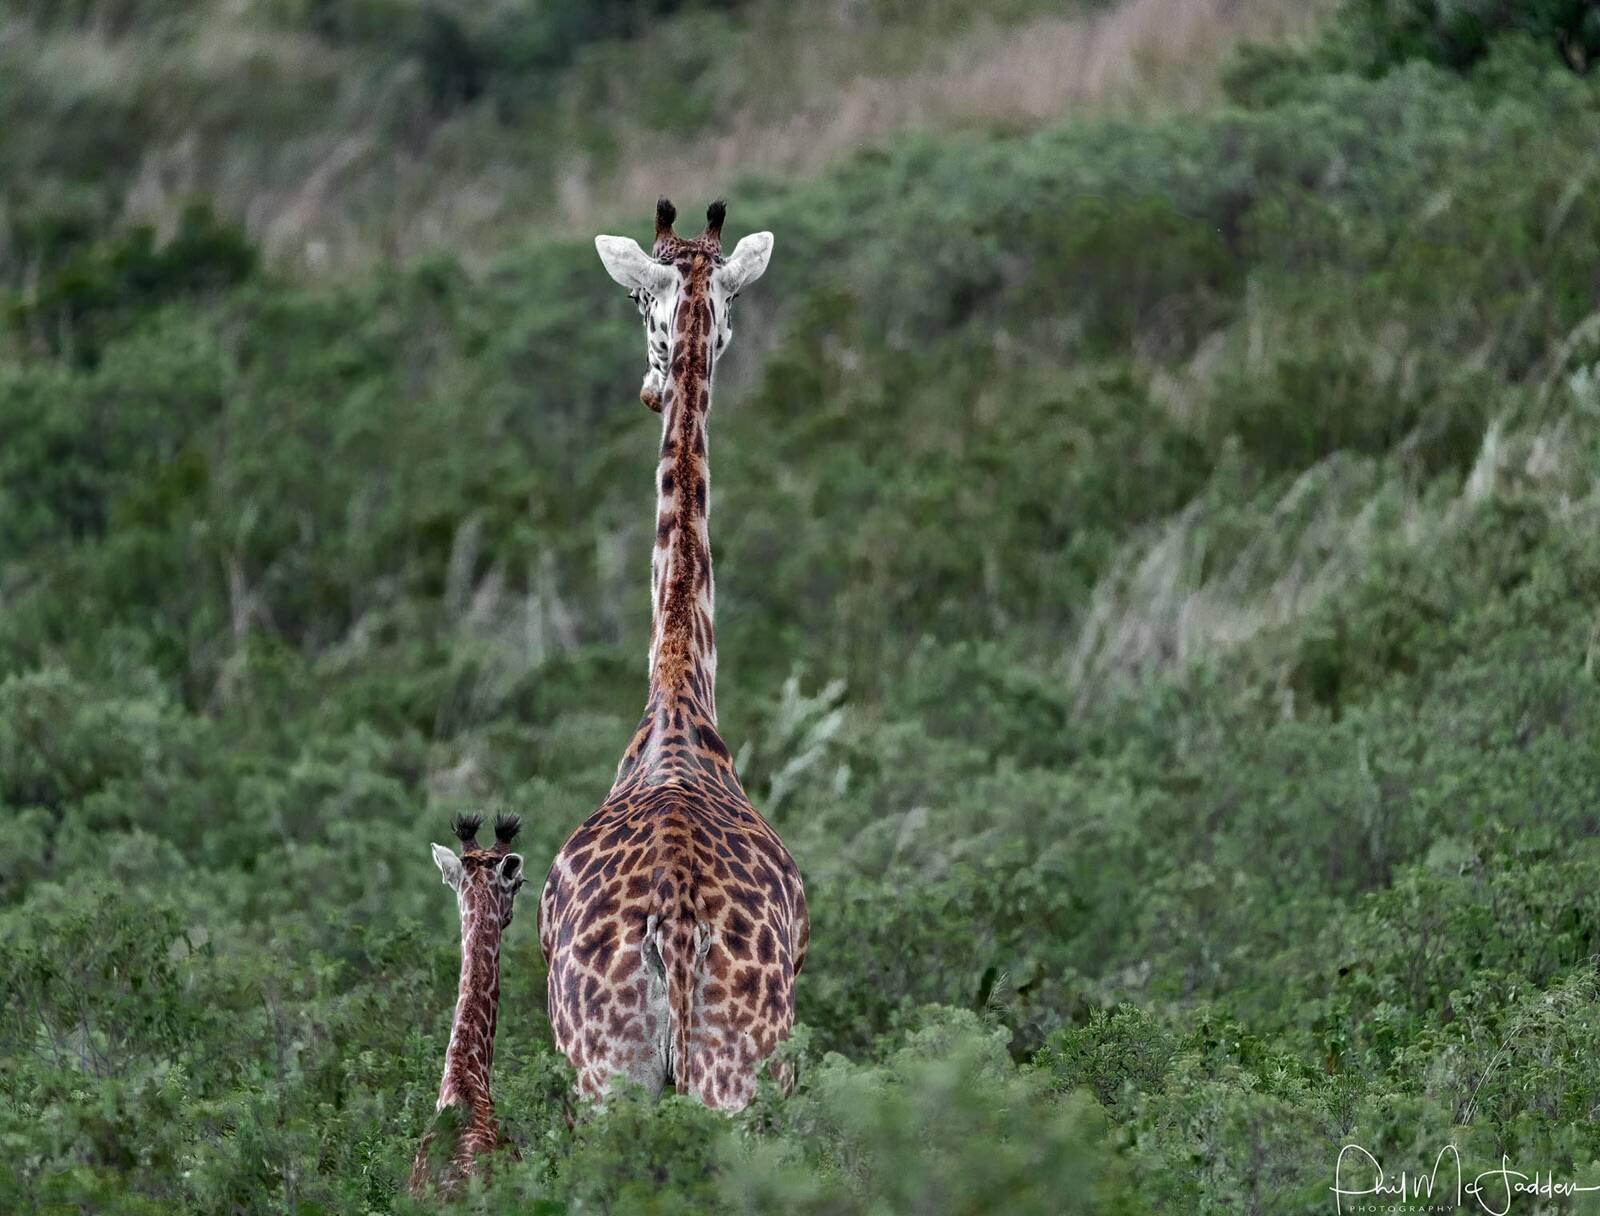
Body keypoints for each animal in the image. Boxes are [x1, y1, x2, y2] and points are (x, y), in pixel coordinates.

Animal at [537, 198, 808, 1112]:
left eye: (632, 301)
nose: (650, 387)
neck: (679, 690)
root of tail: (676, 923)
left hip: (614, 1071)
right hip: (717, 1069)